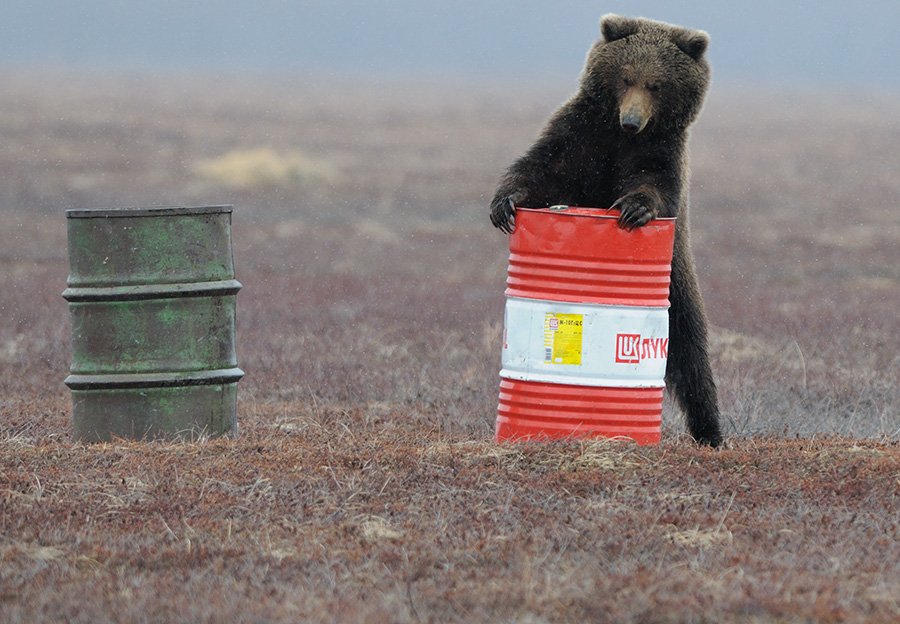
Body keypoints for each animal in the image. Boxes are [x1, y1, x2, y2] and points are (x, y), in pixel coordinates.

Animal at [492, 12, 724, 446]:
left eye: (656, 84)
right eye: (626, 76)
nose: (632, 120)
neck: (618, 139)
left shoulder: (659, 155)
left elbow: (652, 186)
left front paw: (633, 208)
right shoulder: (582, 136)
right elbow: (541, 169)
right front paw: (505, 204)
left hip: (677, 281)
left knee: (691, 355)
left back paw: (710, 431)